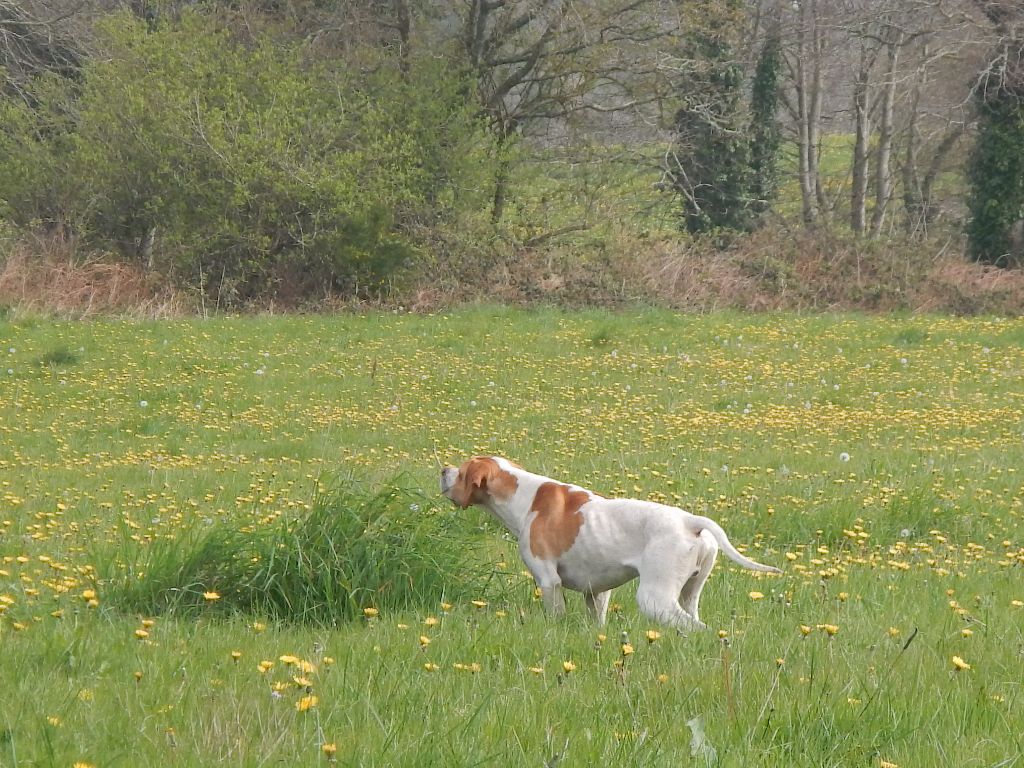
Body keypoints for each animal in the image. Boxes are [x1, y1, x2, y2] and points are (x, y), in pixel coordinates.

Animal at [436, 456, 778, 630]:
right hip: (689, 594)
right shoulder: (597, 592)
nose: (443, 469)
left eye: (462, 472)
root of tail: (689, 522)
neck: (525, 496)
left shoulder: (548, 581)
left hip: (655, 599)